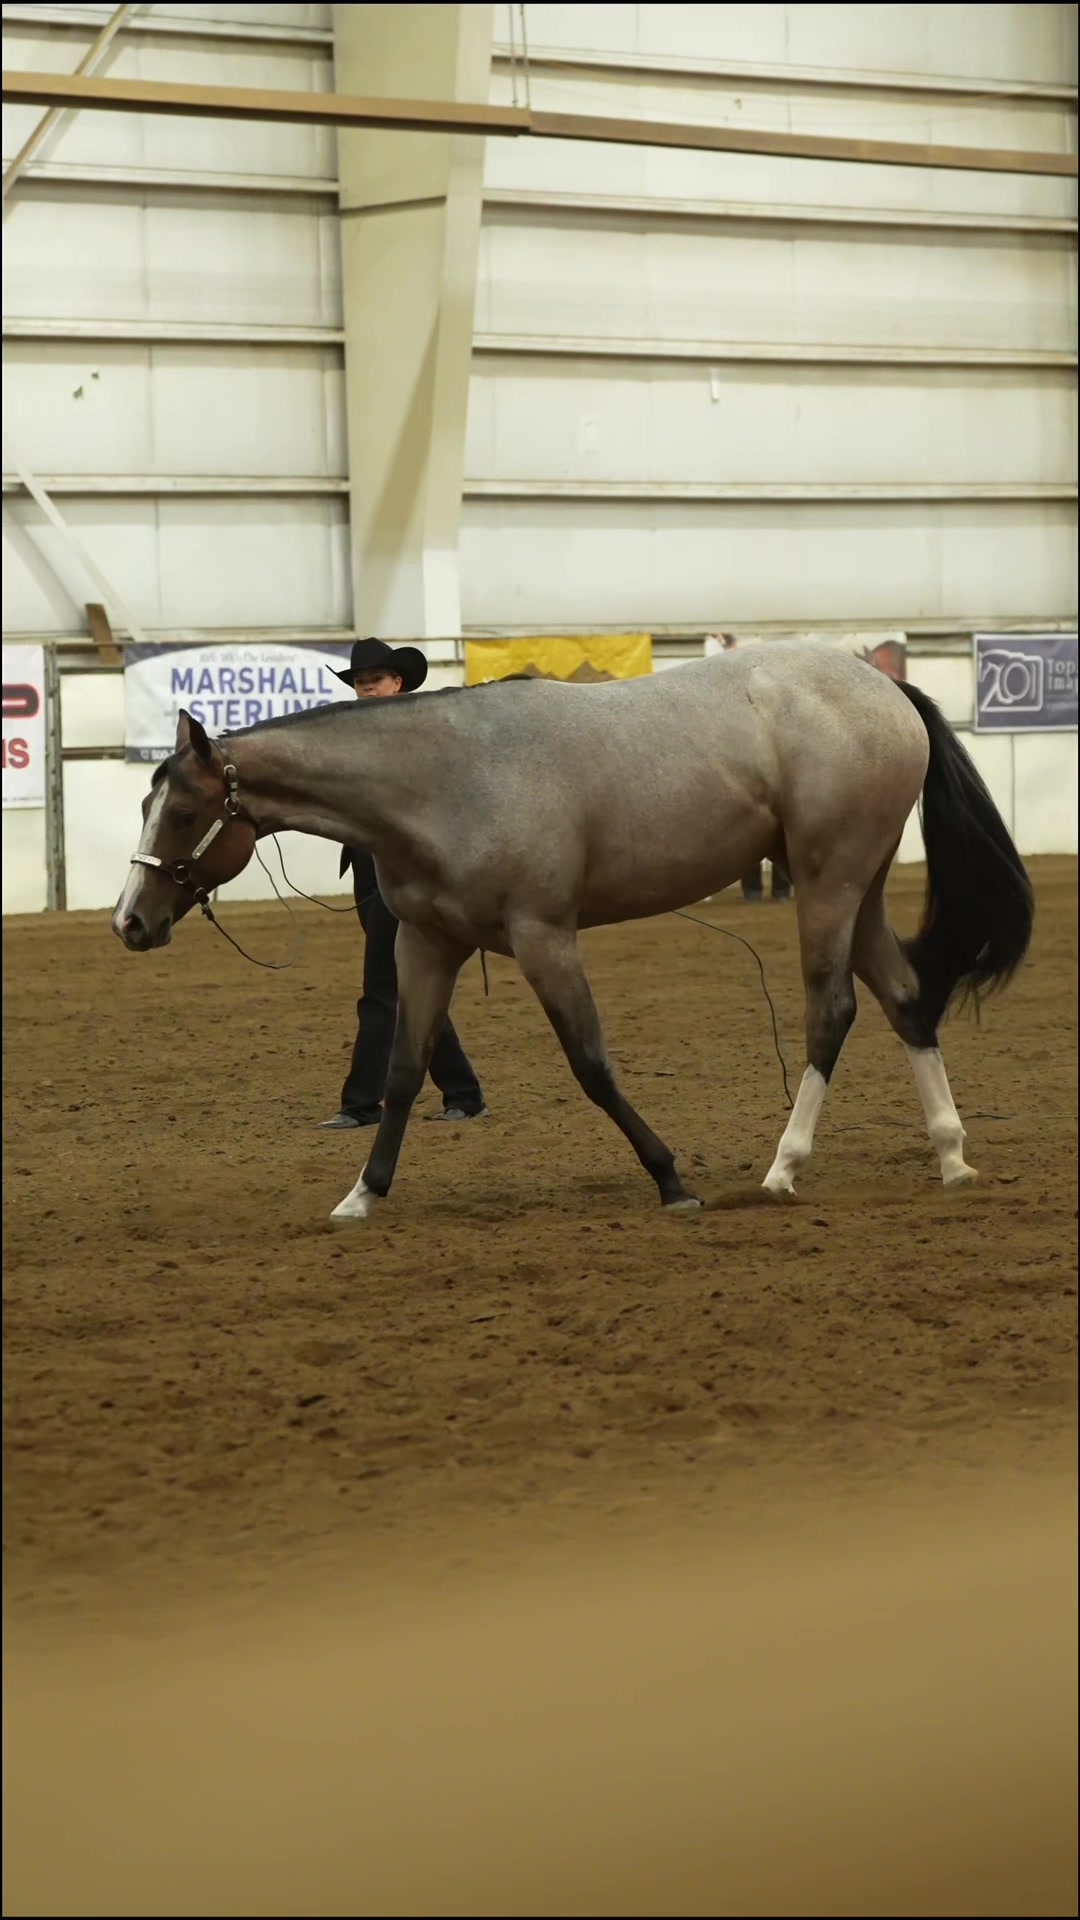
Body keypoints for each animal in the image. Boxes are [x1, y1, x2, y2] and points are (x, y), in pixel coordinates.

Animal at [112, 643, 1033, 1227]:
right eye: (145, 803)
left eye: (184, 811)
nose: (130, 921)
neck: (443, 780)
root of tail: (885, 690)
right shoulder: (426, 944)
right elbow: (405, 1071)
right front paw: (362, 1195)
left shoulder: (545, 937)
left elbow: (590, 1064)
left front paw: (671, 1180)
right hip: (858, 887)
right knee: (907, 999)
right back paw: (951, 1158)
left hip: (827, 882)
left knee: (831, 1011)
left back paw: (783, 1169)